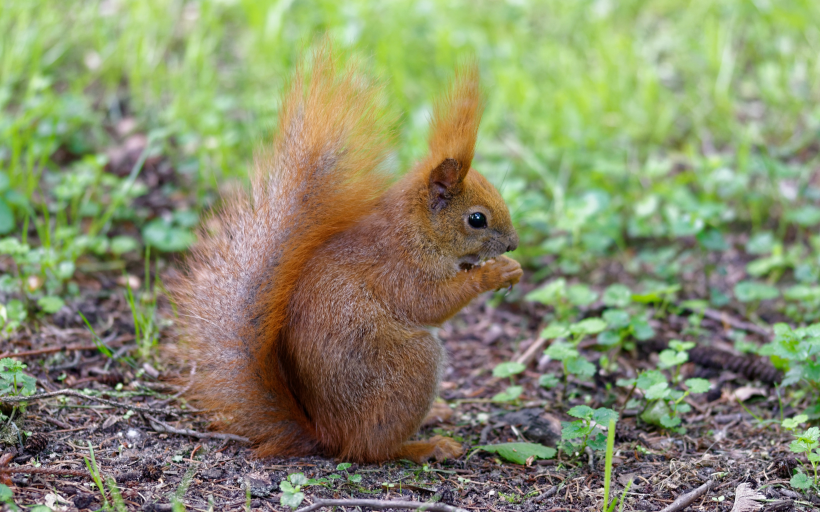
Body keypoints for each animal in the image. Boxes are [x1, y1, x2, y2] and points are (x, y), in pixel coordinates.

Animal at [173, 48, 524, 464]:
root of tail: (327, 435)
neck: (416, 230)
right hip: (413, 367)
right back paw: (427, 445)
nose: (513, 244)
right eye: (477, 219)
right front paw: (492, 274)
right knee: (373, 448)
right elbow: (431, 303)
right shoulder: (400, 270)